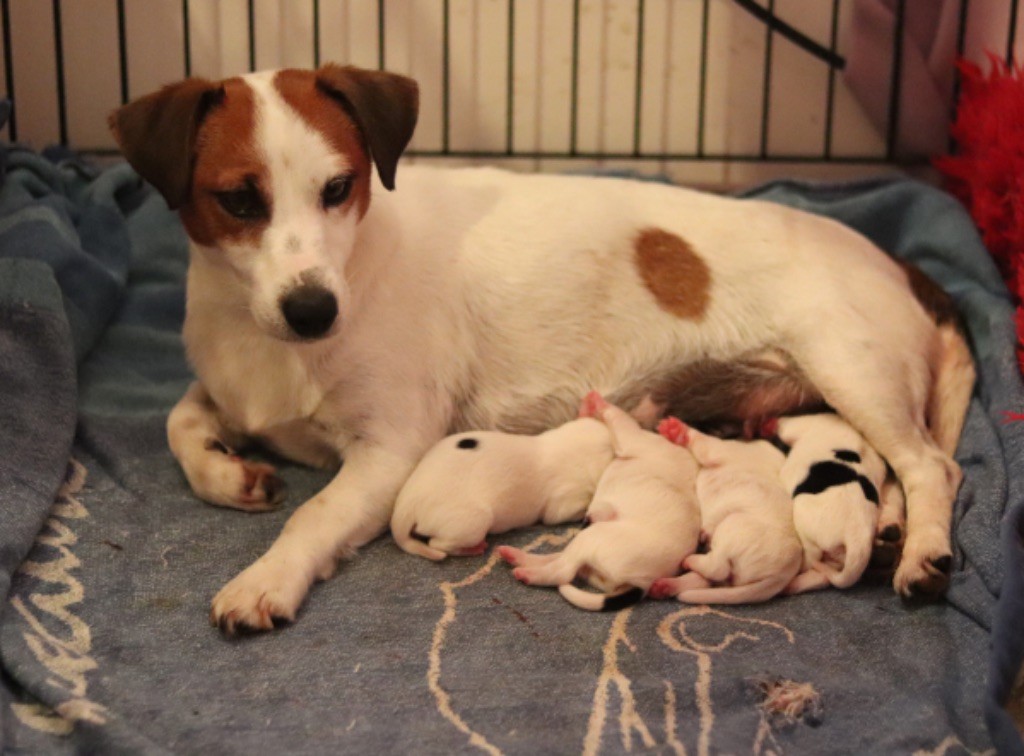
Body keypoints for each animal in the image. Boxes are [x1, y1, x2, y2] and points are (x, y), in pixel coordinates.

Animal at [391, 401, 614, 561]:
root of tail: (406, 505)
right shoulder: (564, 500)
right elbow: (563, 512)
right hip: (472, 521)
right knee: (438, 545)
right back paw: (473, 549)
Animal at [497, 391, 704, 610]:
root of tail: (641, 585)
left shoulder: (632, 437)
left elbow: (617, 415)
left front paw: (598, 402)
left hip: (592, 538)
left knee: (562, 571)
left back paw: (527, 572)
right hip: (588, 547)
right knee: (559, 559)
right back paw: (518, 557)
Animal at [651, 422, 802, 602]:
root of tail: (782, 574)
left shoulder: (717, 450)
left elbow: (702, 442)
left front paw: (677, 429)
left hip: (732, 525)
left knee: (717, 568)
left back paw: (691, 561)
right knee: (705, 579)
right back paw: (667, 586)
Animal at [770, 409, 888, 590]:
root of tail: (857, 539)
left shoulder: (795, 426)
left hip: (806, 527)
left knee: (811, 557)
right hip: (837, 556)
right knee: (823, 575)